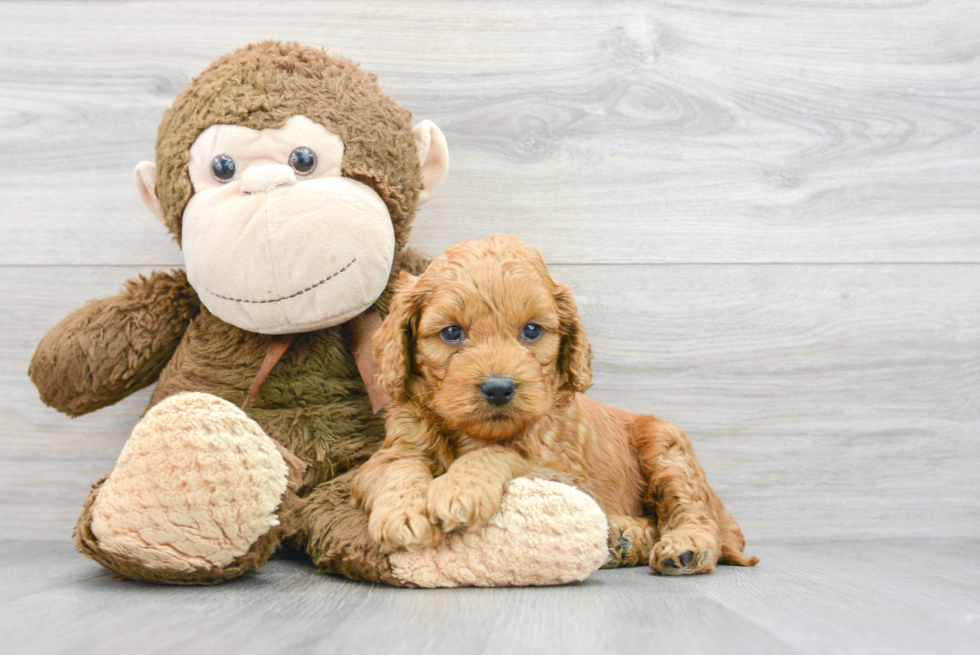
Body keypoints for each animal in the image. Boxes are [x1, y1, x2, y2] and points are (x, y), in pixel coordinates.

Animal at [352, 236, 756, 576]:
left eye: (532, 330)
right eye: (452, 332)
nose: (498, 388)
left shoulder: (562, 468)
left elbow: (499, 454)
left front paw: (459, 489)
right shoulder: (394, 448)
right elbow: (398, 469)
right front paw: (403, 514)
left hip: (667, 448)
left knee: (692, 511)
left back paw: (686, 546)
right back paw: (623, 538)